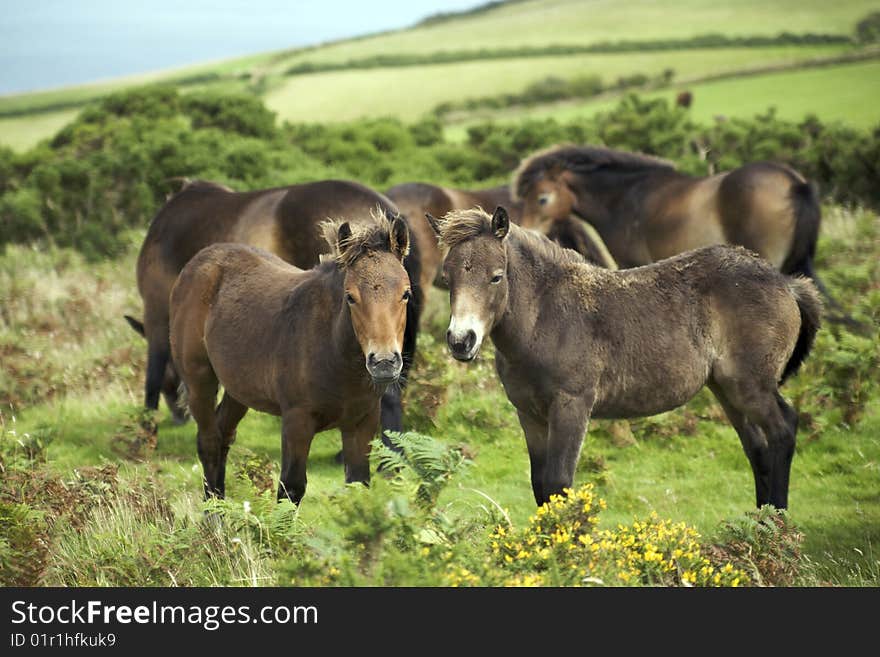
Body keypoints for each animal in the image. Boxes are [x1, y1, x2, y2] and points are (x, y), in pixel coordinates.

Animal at [171, 210, 412, 502]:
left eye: (406, 294)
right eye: (350, 297)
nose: (384, 363)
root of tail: (199, 260)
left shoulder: (362, 422)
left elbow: (358, 484)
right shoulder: (297, 421)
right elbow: (291, 487)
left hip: (239, 388)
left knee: (223, 434)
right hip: (199, 380)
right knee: (209, 442)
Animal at [430, 205, 820, 508]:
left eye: (496, 277)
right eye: (447, 278)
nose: (461, 341)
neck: (547, 317)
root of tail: (786, 283)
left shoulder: (572, 405)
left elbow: (559, 482)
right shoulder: (529, 414)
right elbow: (540, 486)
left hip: (751, 385)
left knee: (783, 430)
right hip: (726, 389)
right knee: (758, 449)